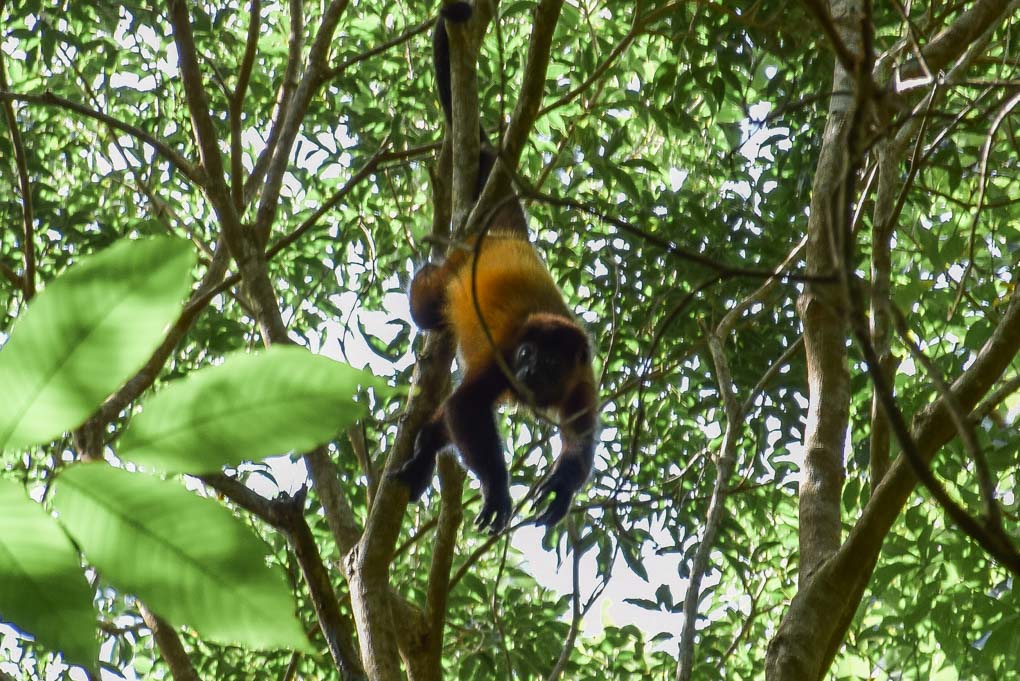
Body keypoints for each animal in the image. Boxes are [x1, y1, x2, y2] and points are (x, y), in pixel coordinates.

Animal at [392, 3, 598, 533]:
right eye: (526, 353)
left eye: (549, 362)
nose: (528, 369)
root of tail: (506, 237)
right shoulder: (502, 352)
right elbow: (465, 405)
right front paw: (498, 491)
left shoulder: (582, 377)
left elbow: (582, 437)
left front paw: (563, 486)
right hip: (453, 267)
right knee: (428, 306)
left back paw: (423, 451)